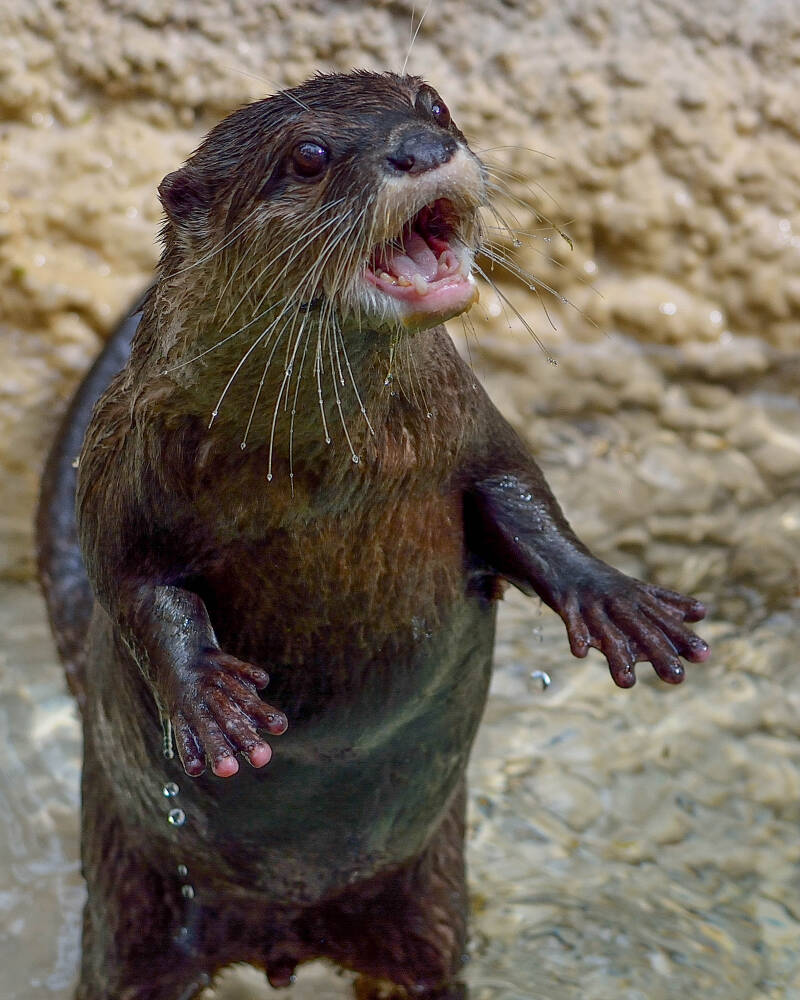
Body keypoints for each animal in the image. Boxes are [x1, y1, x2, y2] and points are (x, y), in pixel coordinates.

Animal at [36, 71, 709, 999]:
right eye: (310, 156)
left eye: (434, 106)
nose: (423, 148)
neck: (329, 472)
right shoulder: (123, 460)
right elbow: (135, 584)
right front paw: (210, 700)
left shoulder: (466, 420)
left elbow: (520, 498)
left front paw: (617, 602)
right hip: (131, 892)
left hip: (428, 895)